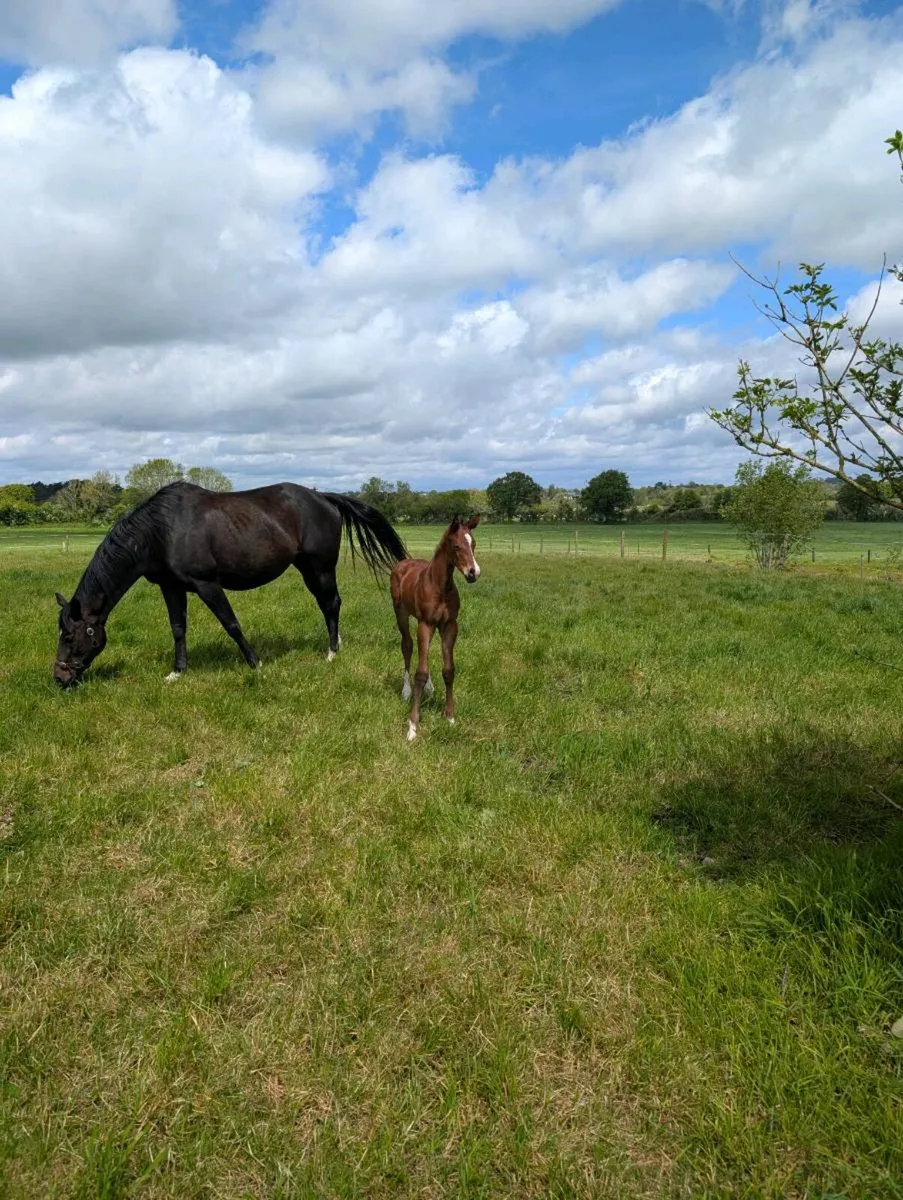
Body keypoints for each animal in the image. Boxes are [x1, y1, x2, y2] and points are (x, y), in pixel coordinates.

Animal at [53, 481, 407, 688]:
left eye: (70, 636)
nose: (59, 677)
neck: (162, 531)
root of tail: (324, 497)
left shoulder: (207, 584)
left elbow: (231, 623)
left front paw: (256, 664)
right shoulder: (171, 587)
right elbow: (178, 628)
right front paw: (177, 671)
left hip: (318, 568)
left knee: (330, 604)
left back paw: (332, 652)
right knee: (330, 605)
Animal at [390, 514, 480, 741]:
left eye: (473, 544)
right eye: (456, 546)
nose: (473, 573)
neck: (440, 587)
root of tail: (404, 563)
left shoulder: (449, 626)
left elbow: (448, 670)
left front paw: (449, 717)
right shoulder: (426, 624)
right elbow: (420, 673)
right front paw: (412, 726)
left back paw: (430, 688)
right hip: (401, 614)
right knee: (407, 646)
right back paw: (406, 691)